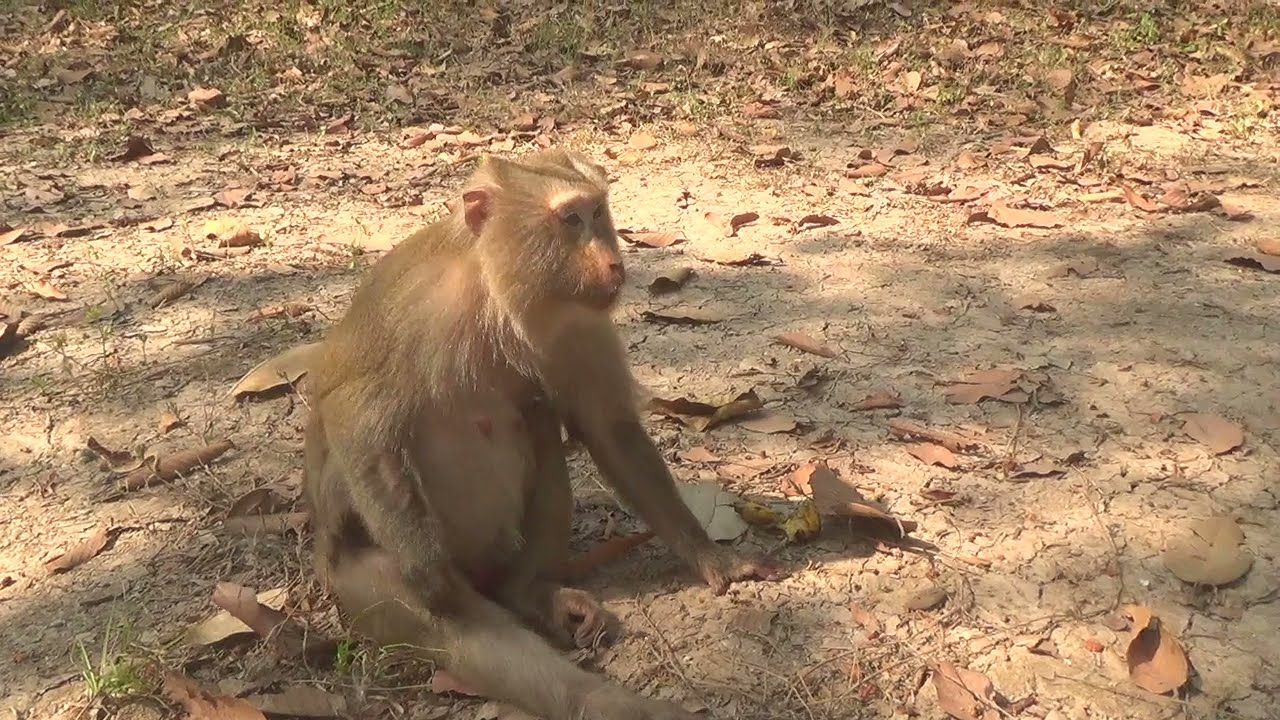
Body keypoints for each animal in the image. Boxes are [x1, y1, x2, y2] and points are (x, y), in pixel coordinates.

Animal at [302, 148, 786, 720]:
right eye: (570, 219)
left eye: (598, 213)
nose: (614, 262)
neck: (494, 297)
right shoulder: (415, 306)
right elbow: (357, 419)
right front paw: (429, 573)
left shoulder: (581, 319)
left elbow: (607, 428)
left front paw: (710, 555)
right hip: (358, 576)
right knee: (459, 630)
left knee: (538, 420)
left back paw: (530, 595)